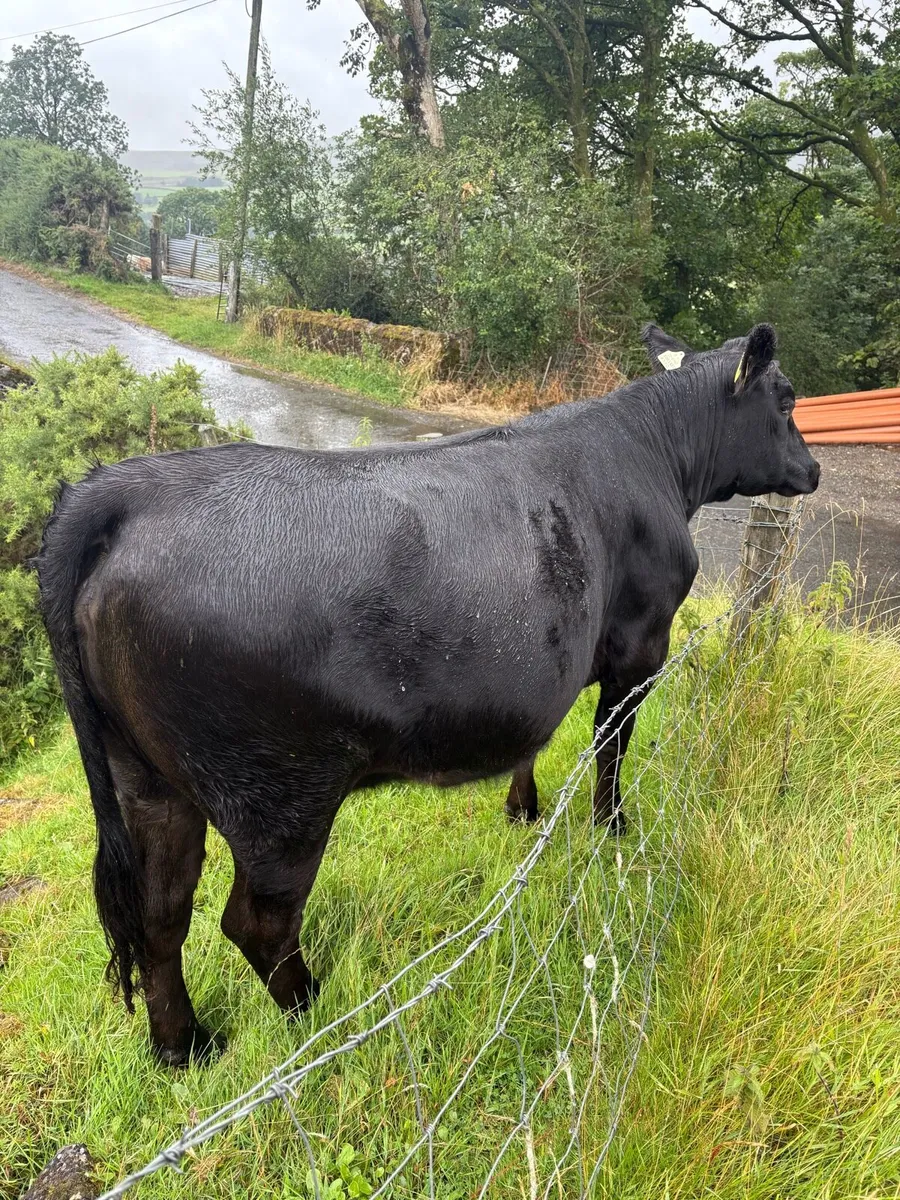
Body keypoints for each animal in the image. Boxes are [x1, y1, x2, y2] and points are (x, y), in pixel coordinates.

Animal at [37, 322, 819, 1066]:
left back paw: (185, 1047)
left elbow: (534, 740)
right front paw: (613, 828)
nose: (812, 468)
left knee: (160, 915)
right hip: (277, 796)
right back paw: (319, 1010)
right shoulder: (641, 647)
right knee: (257, 921)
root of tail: (130, 489)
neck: (658, 457)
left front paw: (522, 810)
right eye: (787, 402)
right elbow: (610, 747)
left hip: (147, 778)